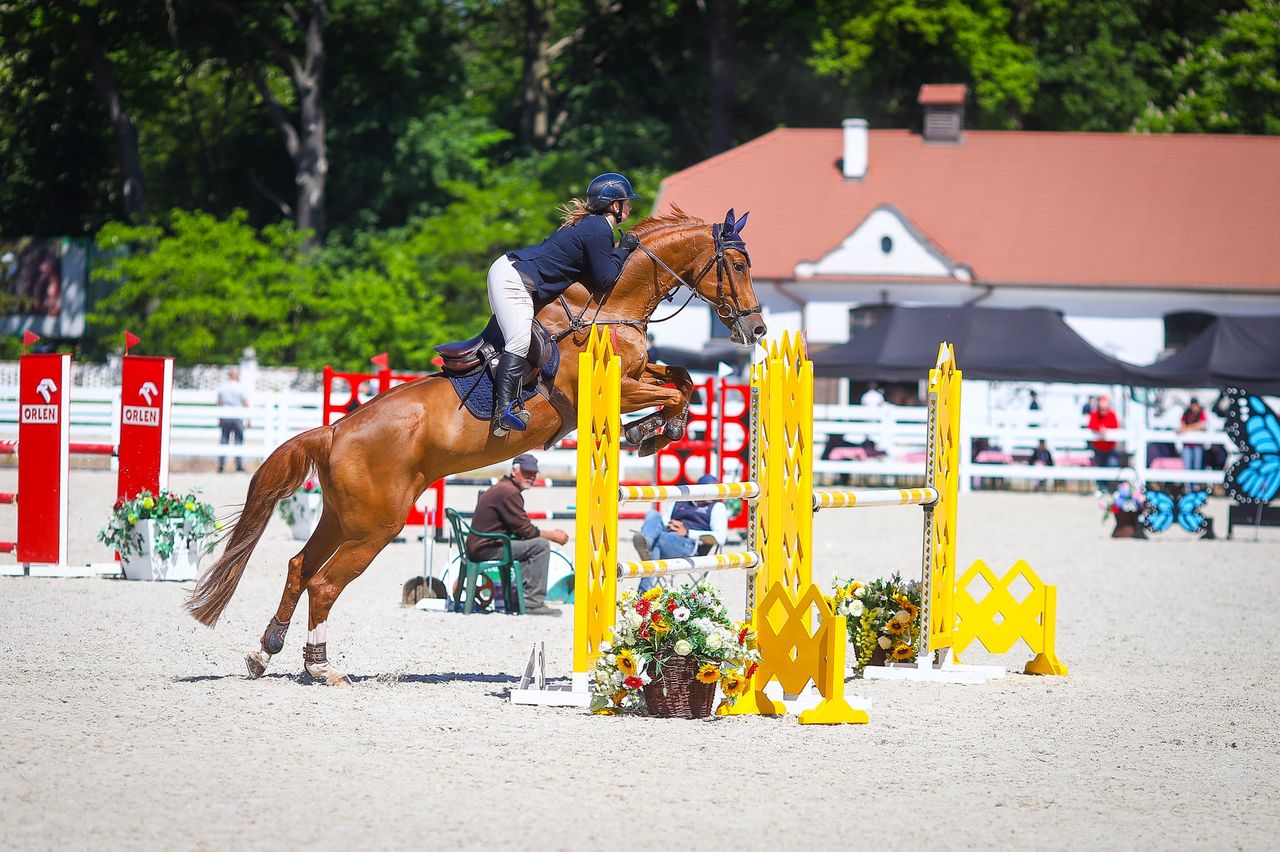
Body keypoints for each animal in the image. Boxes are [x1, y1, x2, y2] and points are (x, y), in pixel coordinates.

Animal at [185, 205, 762, 685]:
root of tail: (333, 431)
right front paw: (652, 432)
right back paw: (322, 669)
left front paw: (653, 431)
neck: (610, 304)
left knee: (300, 568)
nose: (755, 328)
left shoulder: (638, 372)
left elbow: (683, 379)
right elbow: (675, 390)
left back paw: (265, 653)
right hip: (375, 524)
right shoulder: (607, 387)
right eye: (736, 263)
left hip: (343, 517)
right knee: (324, 583)